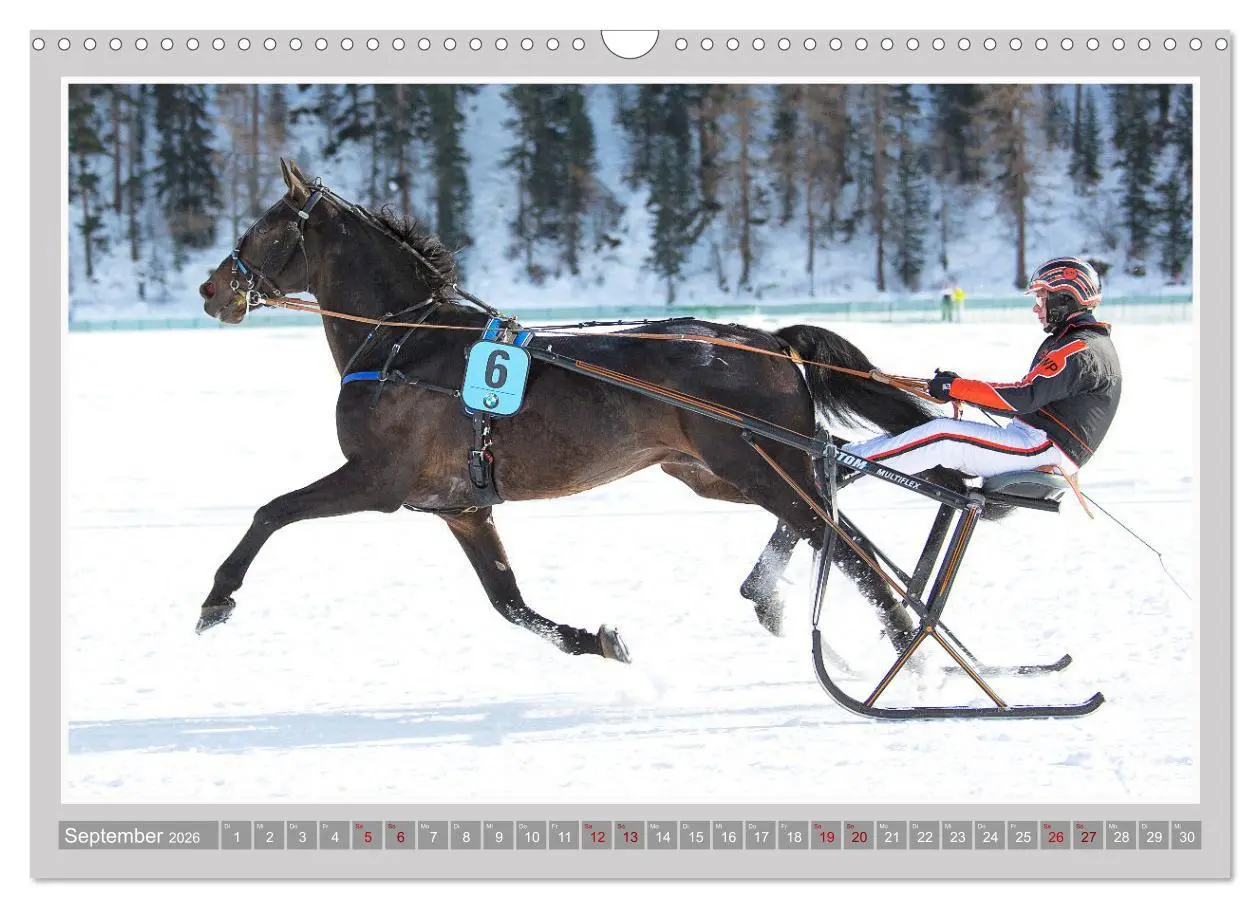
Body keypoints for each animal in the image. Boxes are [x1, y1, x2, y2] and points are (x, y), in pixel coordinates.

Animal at [194, 159, 949, 661]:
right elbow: (510, 603)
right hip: (715, 472)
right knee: (834, 505)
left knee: (839, 537)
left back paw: (900, 639)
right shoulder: (460, 507)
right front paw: (597, 639)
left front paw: (217, 598)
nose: (210, 288)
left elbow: (272, 512)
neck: (405, 341)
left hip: (757, 465)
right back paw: (783, 597)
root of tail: (768, 340)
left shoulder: (376, 479)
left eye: (264, 226)